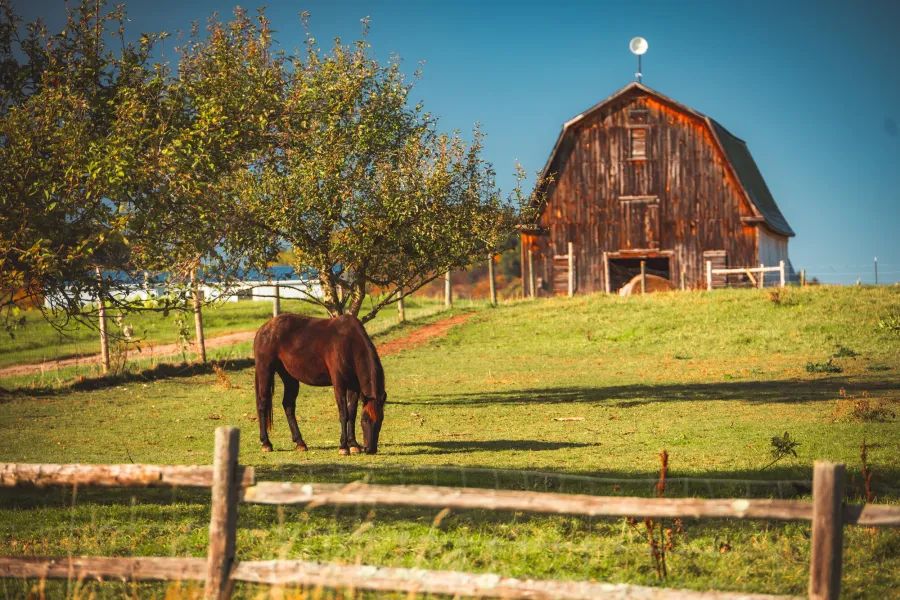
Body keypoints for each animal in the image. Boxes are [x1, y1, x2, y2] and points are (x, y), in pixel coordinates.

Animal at [253, 313, 387, 455]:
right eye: (365, 419)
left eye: (381, 419)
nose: (370, 449)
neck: (349, 343)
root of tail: (264, 328)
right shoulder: (339, 384)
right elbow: (344, 414)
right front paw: (343, 446)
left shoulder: (354, 386)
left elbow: (352, 413)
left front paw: (353, 444)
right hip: (265, 370)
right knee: (262, 404)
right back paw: (266, 443)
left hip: (289, 377)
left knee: (288, 405)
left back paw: (300, 443)